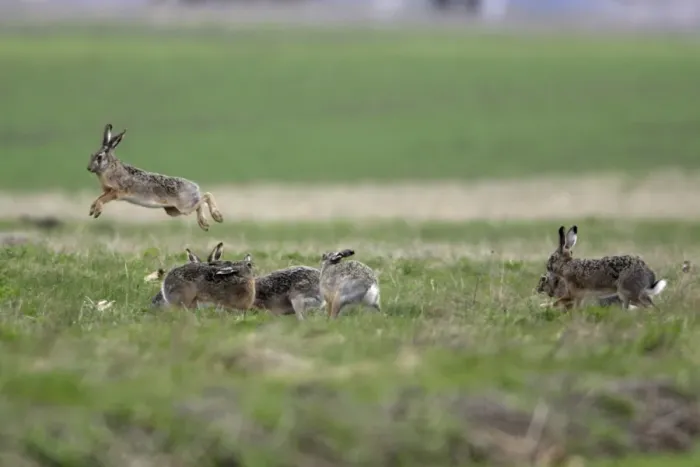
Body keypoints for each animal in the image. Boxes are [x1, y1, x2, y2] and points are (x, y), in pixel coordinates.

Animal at [87, 123, 223, 231]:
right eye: (92, 155)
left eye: (99, 157)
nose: (88, 168)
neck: (109, 167)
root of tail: (195, 187)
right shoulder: (108, 191)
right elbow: (98, 198)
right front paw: (92, 210)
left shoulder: (116, 191)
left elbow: (102, 199)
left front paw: (97, 212)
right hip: (173, 210)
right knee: (200, 203)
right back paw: (204, 223)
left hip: (184, 206)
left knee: (206, 196)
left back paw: (217, 216)